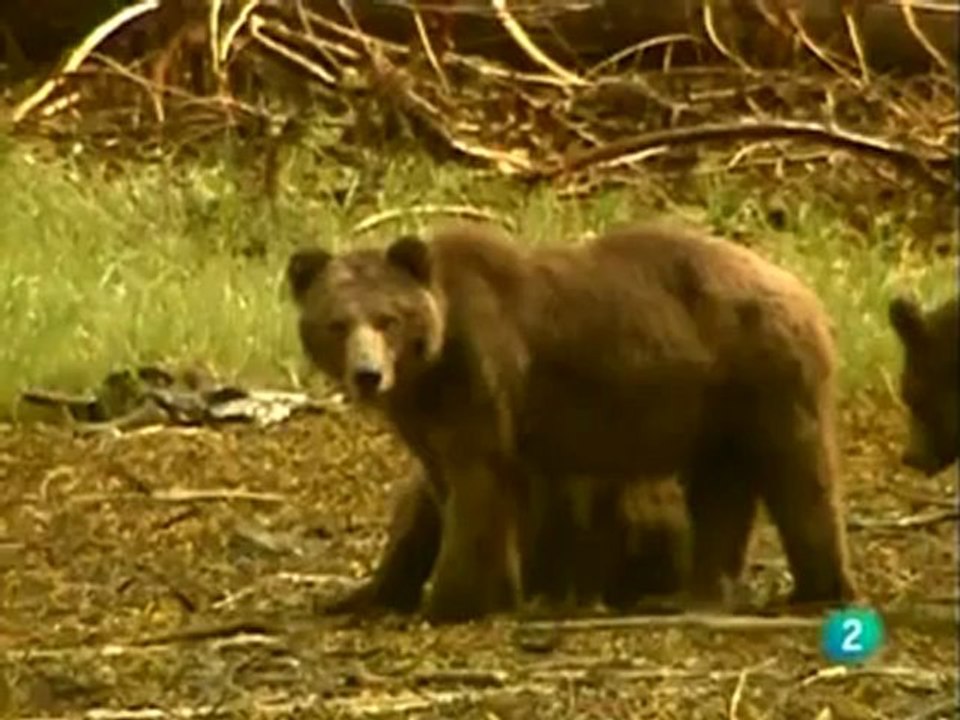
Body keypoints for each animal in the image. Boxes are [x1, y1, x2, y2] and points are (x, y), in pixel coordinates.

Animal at [287, 220, 857, 623]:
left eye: (388, 320)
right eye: (336, 323)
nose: (367, 375)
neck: (429, 367)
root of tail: (803, 288)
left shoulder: (485, 378)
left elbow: (478, 485)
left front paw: (453, 601)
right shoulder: (427, 418)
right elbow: (434, 494)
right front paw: (364, 597)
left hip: (764, 369)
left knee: (800, 474)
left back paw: (817, 589)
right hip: (716, 407)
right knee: (722, 490)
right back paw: (697, 594)